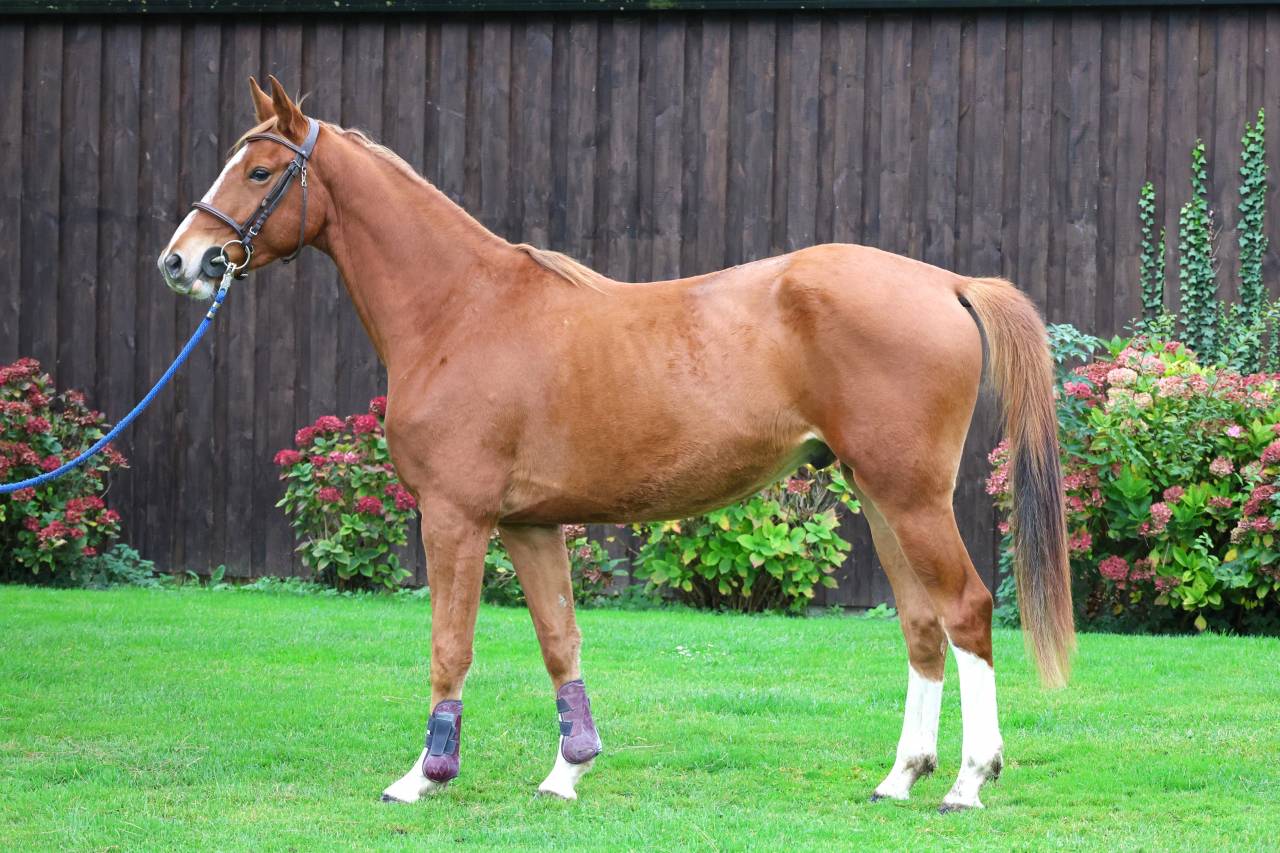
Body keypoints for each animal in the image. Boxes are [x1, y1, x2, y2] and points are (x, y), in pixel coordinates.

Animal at [159, 76, 1074, 812]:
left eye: (261, 171)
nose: (182, 261)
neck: (464, 307)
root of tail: (947, 283)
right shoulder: (529, 525)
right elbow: (559, 643)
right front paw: (568, 770)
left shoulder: (455, 518)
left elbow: (450, 647)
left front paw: (423, 775)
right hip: (880, 495)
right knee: (923, 624)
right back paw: (901, 775)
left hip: (911, 496)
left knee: (966, 610)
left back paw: (969, 780)